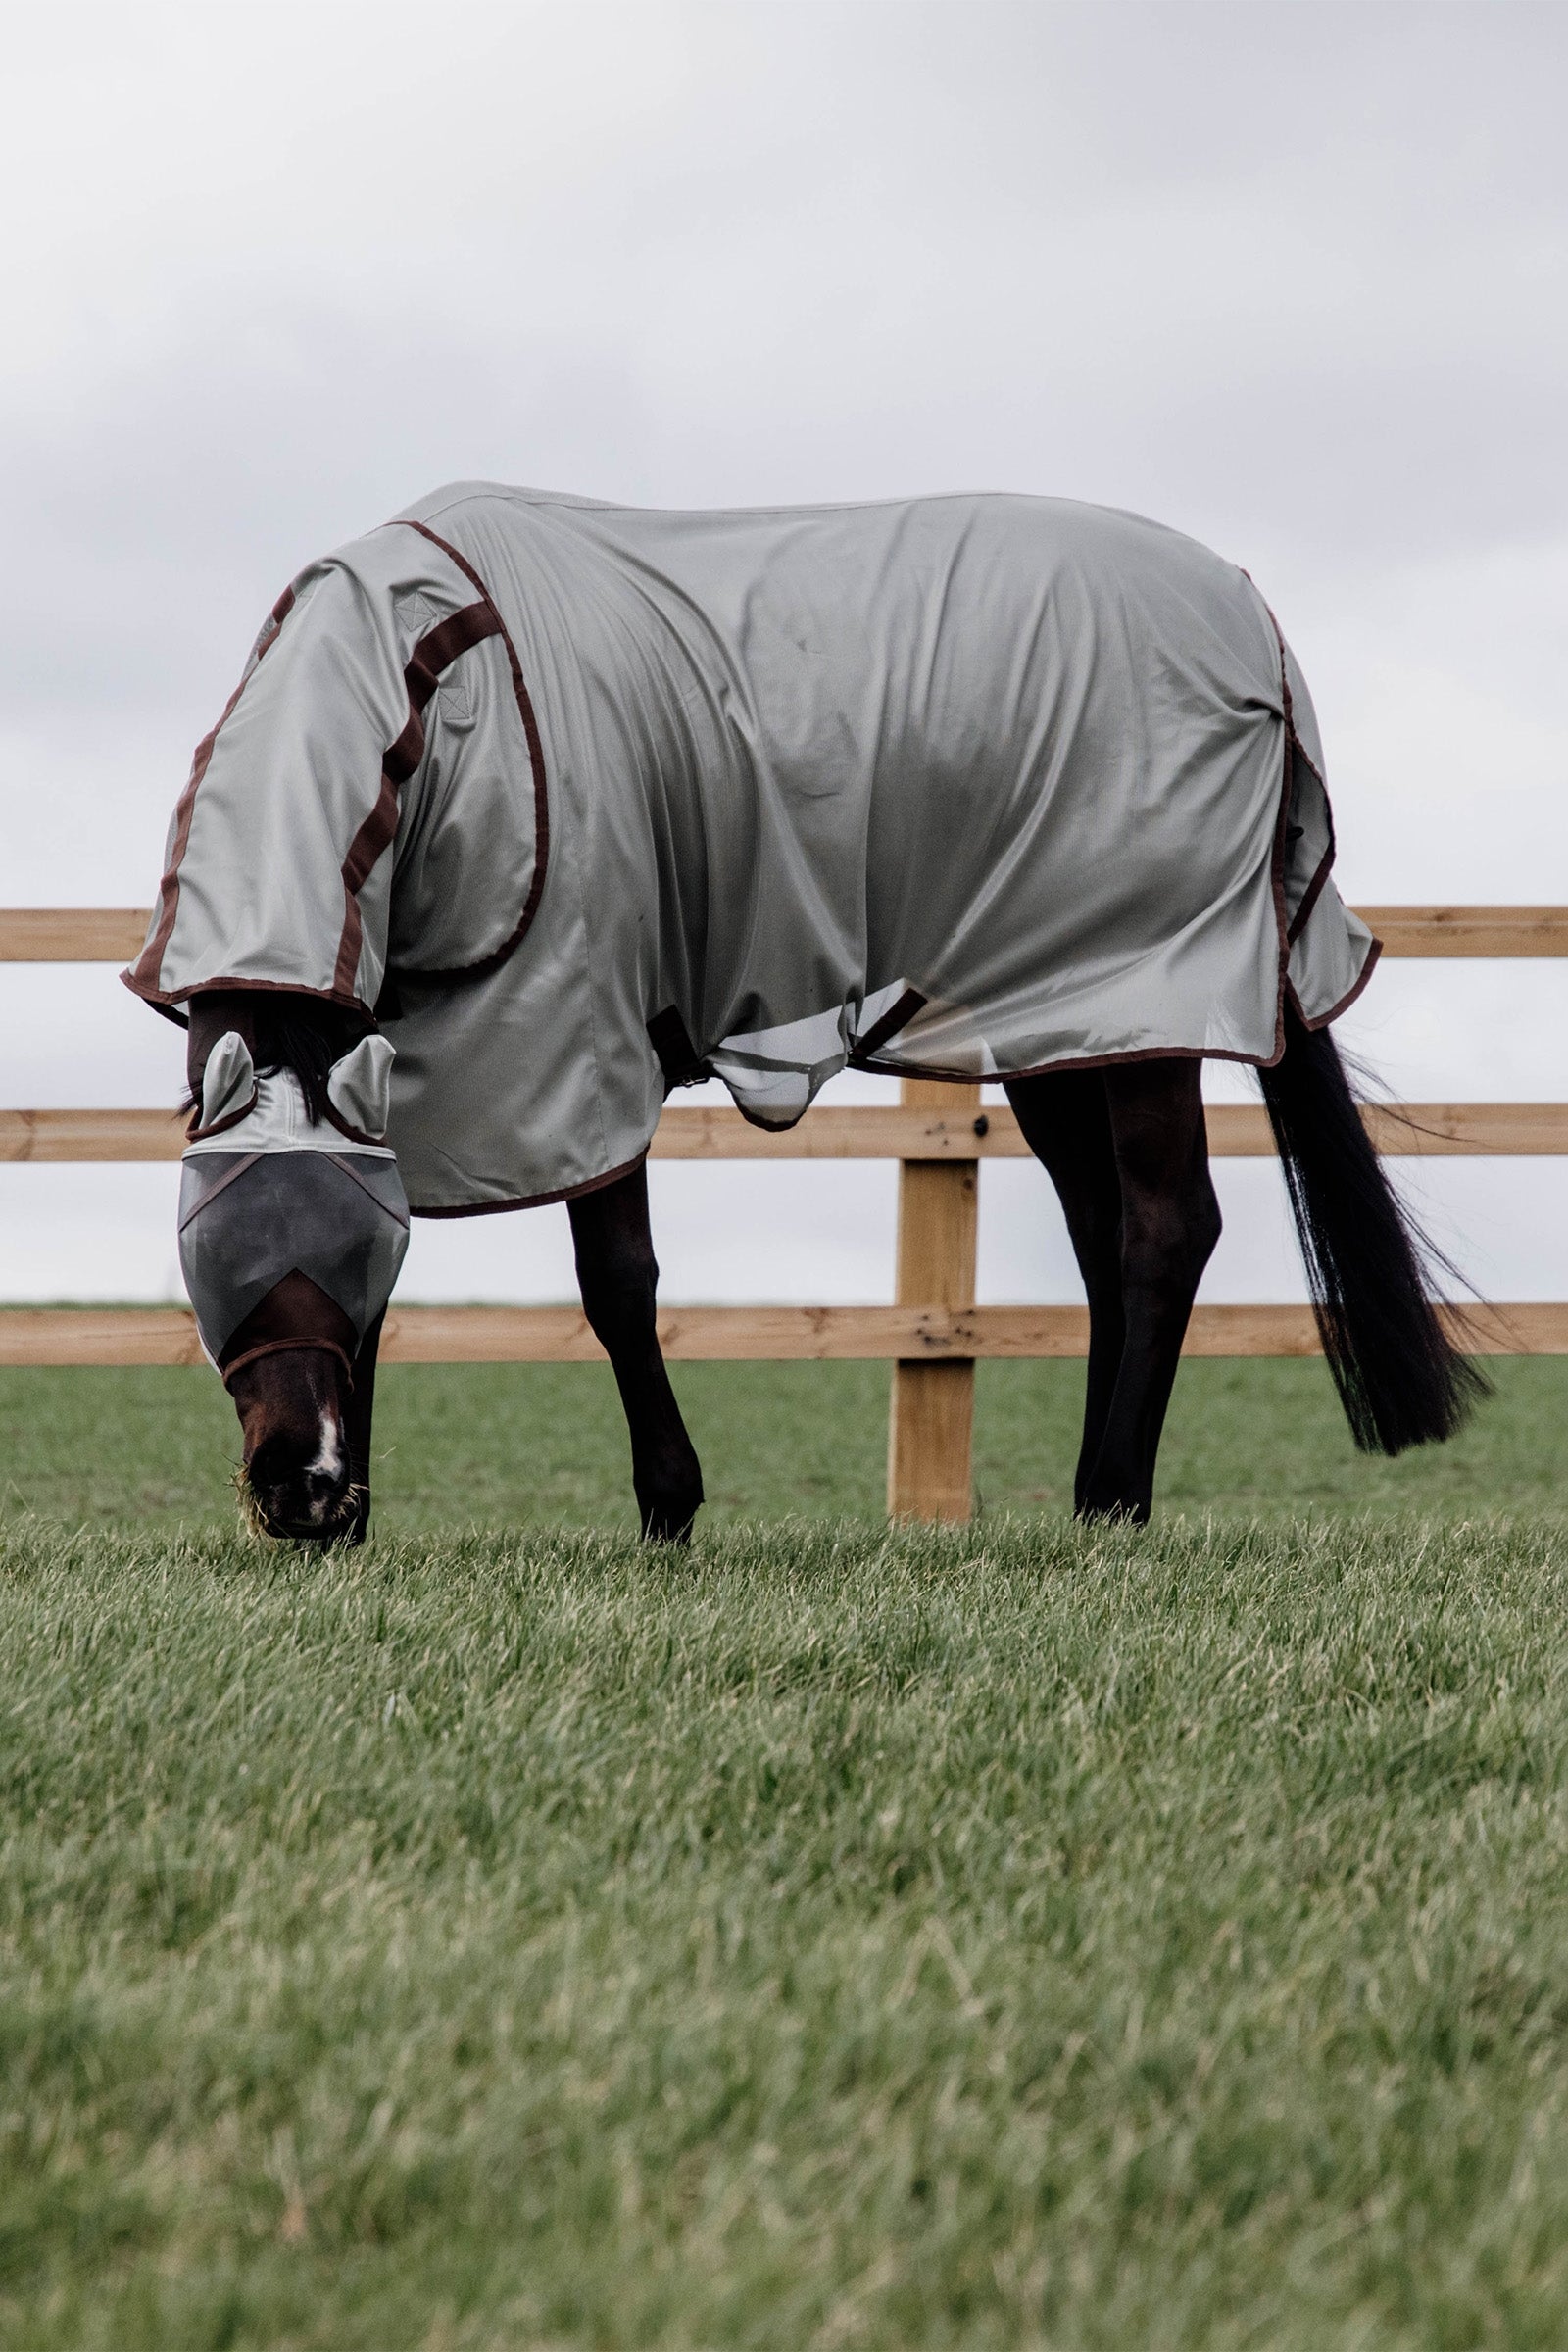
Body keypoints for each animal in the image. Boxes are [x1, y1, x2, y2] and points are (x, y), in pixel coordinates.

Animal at [129, 484, 1483, 1541]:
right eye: (216, 1246)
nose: (301, 1493)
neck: (442, 705)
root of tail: (1250, 611)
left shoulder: (579, 1029)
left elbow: (617, 1282)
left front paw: (667, 1507)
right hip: (1065, 1024)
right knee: (1104, 1235)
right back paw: (1099, 1501)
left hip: (1147, 1005)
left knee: (1165, 1227)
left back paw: (1110, 1499)